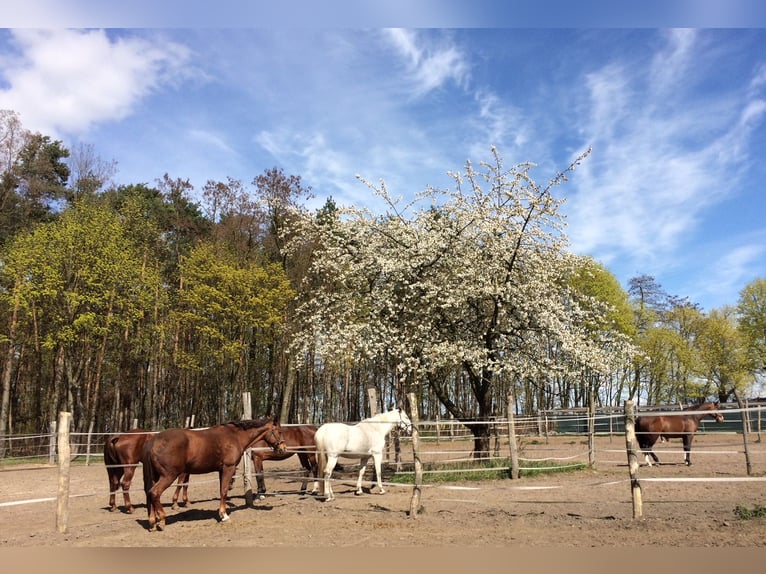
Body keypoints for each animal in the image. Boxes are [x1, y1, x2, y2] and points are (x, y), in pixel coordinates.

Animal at [142, 417, 286, 531]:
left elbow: (222, 490)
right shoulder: (228, 468)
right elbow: (224, 491)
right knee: (154, 493)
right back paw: (162, 520)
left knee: (149, 494)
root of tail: (153, 441)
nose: (283, 449)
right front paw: (224, 516)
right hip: (168, 476)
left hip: (155, 476)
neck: (235, 436)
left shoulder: (221, 470)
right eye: (279, 431)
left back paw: (153, 523)